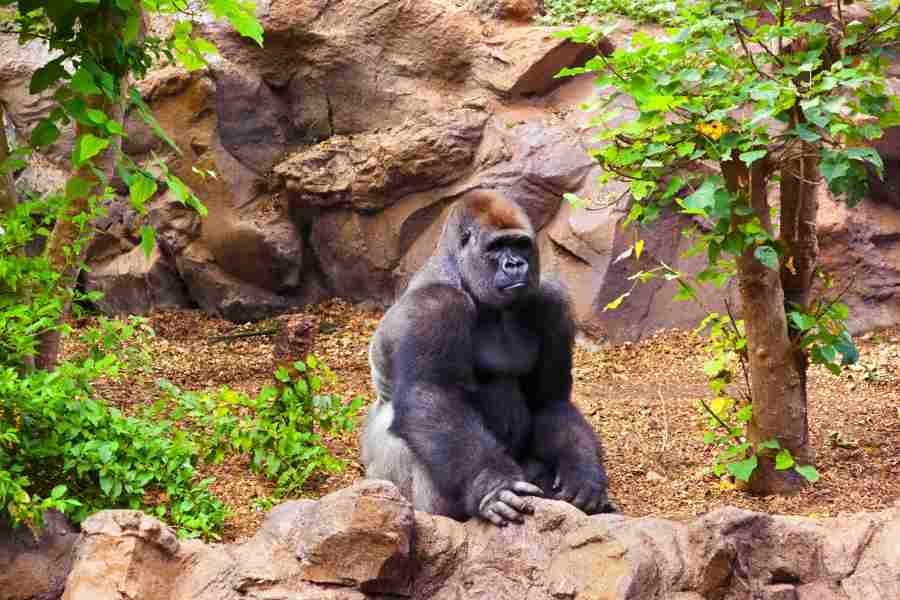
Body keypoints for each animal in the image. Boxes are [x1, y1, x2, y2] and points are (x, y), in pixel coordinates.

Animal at [360, 189, 612, 524]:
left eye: (520, 244)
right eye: (496, 247)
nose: (515, 264)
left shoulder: (551, 302)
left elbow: (549, 401)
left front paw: (582, 469)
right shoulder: (435, 305)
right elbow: (432, 396)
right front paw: (492, 483)